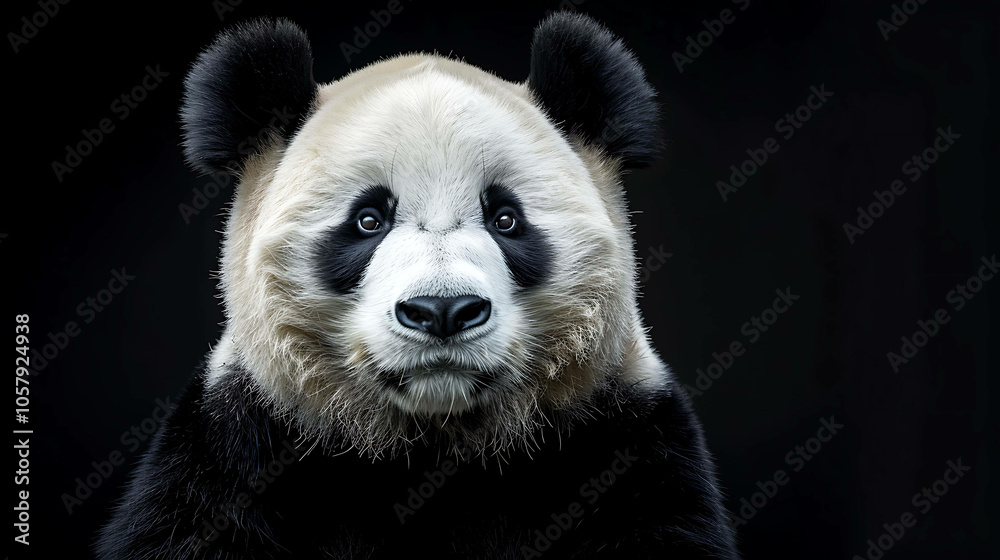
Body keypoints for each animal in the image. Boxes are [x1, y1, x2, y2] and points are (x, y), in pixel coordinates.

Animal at [97, 13, 740, 560]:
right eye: (367, 220)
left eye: (505, 219)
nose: (443, 311)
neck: (432, 446)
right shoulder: (238, 448)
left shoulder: (623, 440)